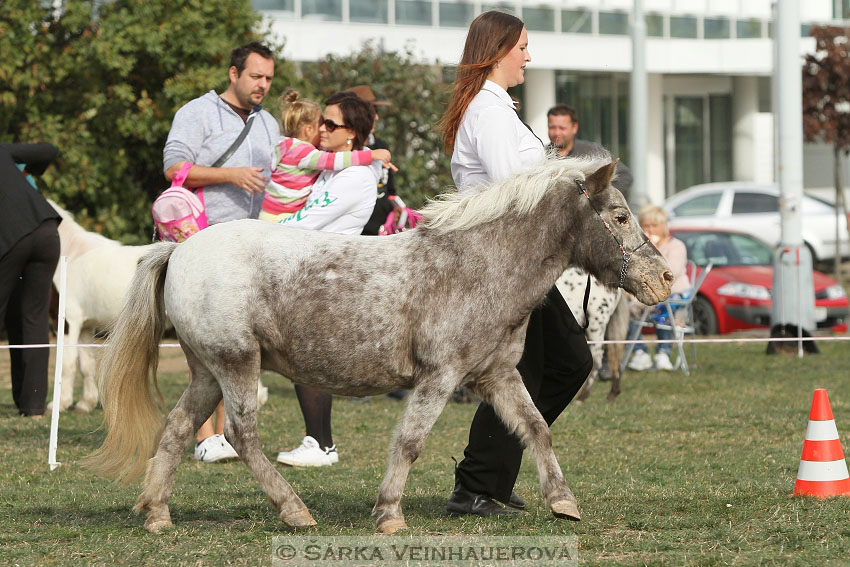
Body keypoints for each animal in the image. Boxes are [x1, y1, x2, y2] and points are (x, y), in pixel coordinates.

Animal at [84, 158, 668, 536]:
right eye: (619, 216)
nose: (663, 279)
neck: (478, 266)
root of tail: (177, 251)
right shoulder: (439, 376)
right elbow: (409, 442)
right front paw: (389, 514)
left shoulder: (497, 375)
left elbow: (536, 428)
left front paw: (563, 501)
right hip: (237, 364)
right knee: (241, 435)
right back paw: (294, 511)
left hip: (208, 370)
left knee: (178, 428)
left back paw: (158, 514)